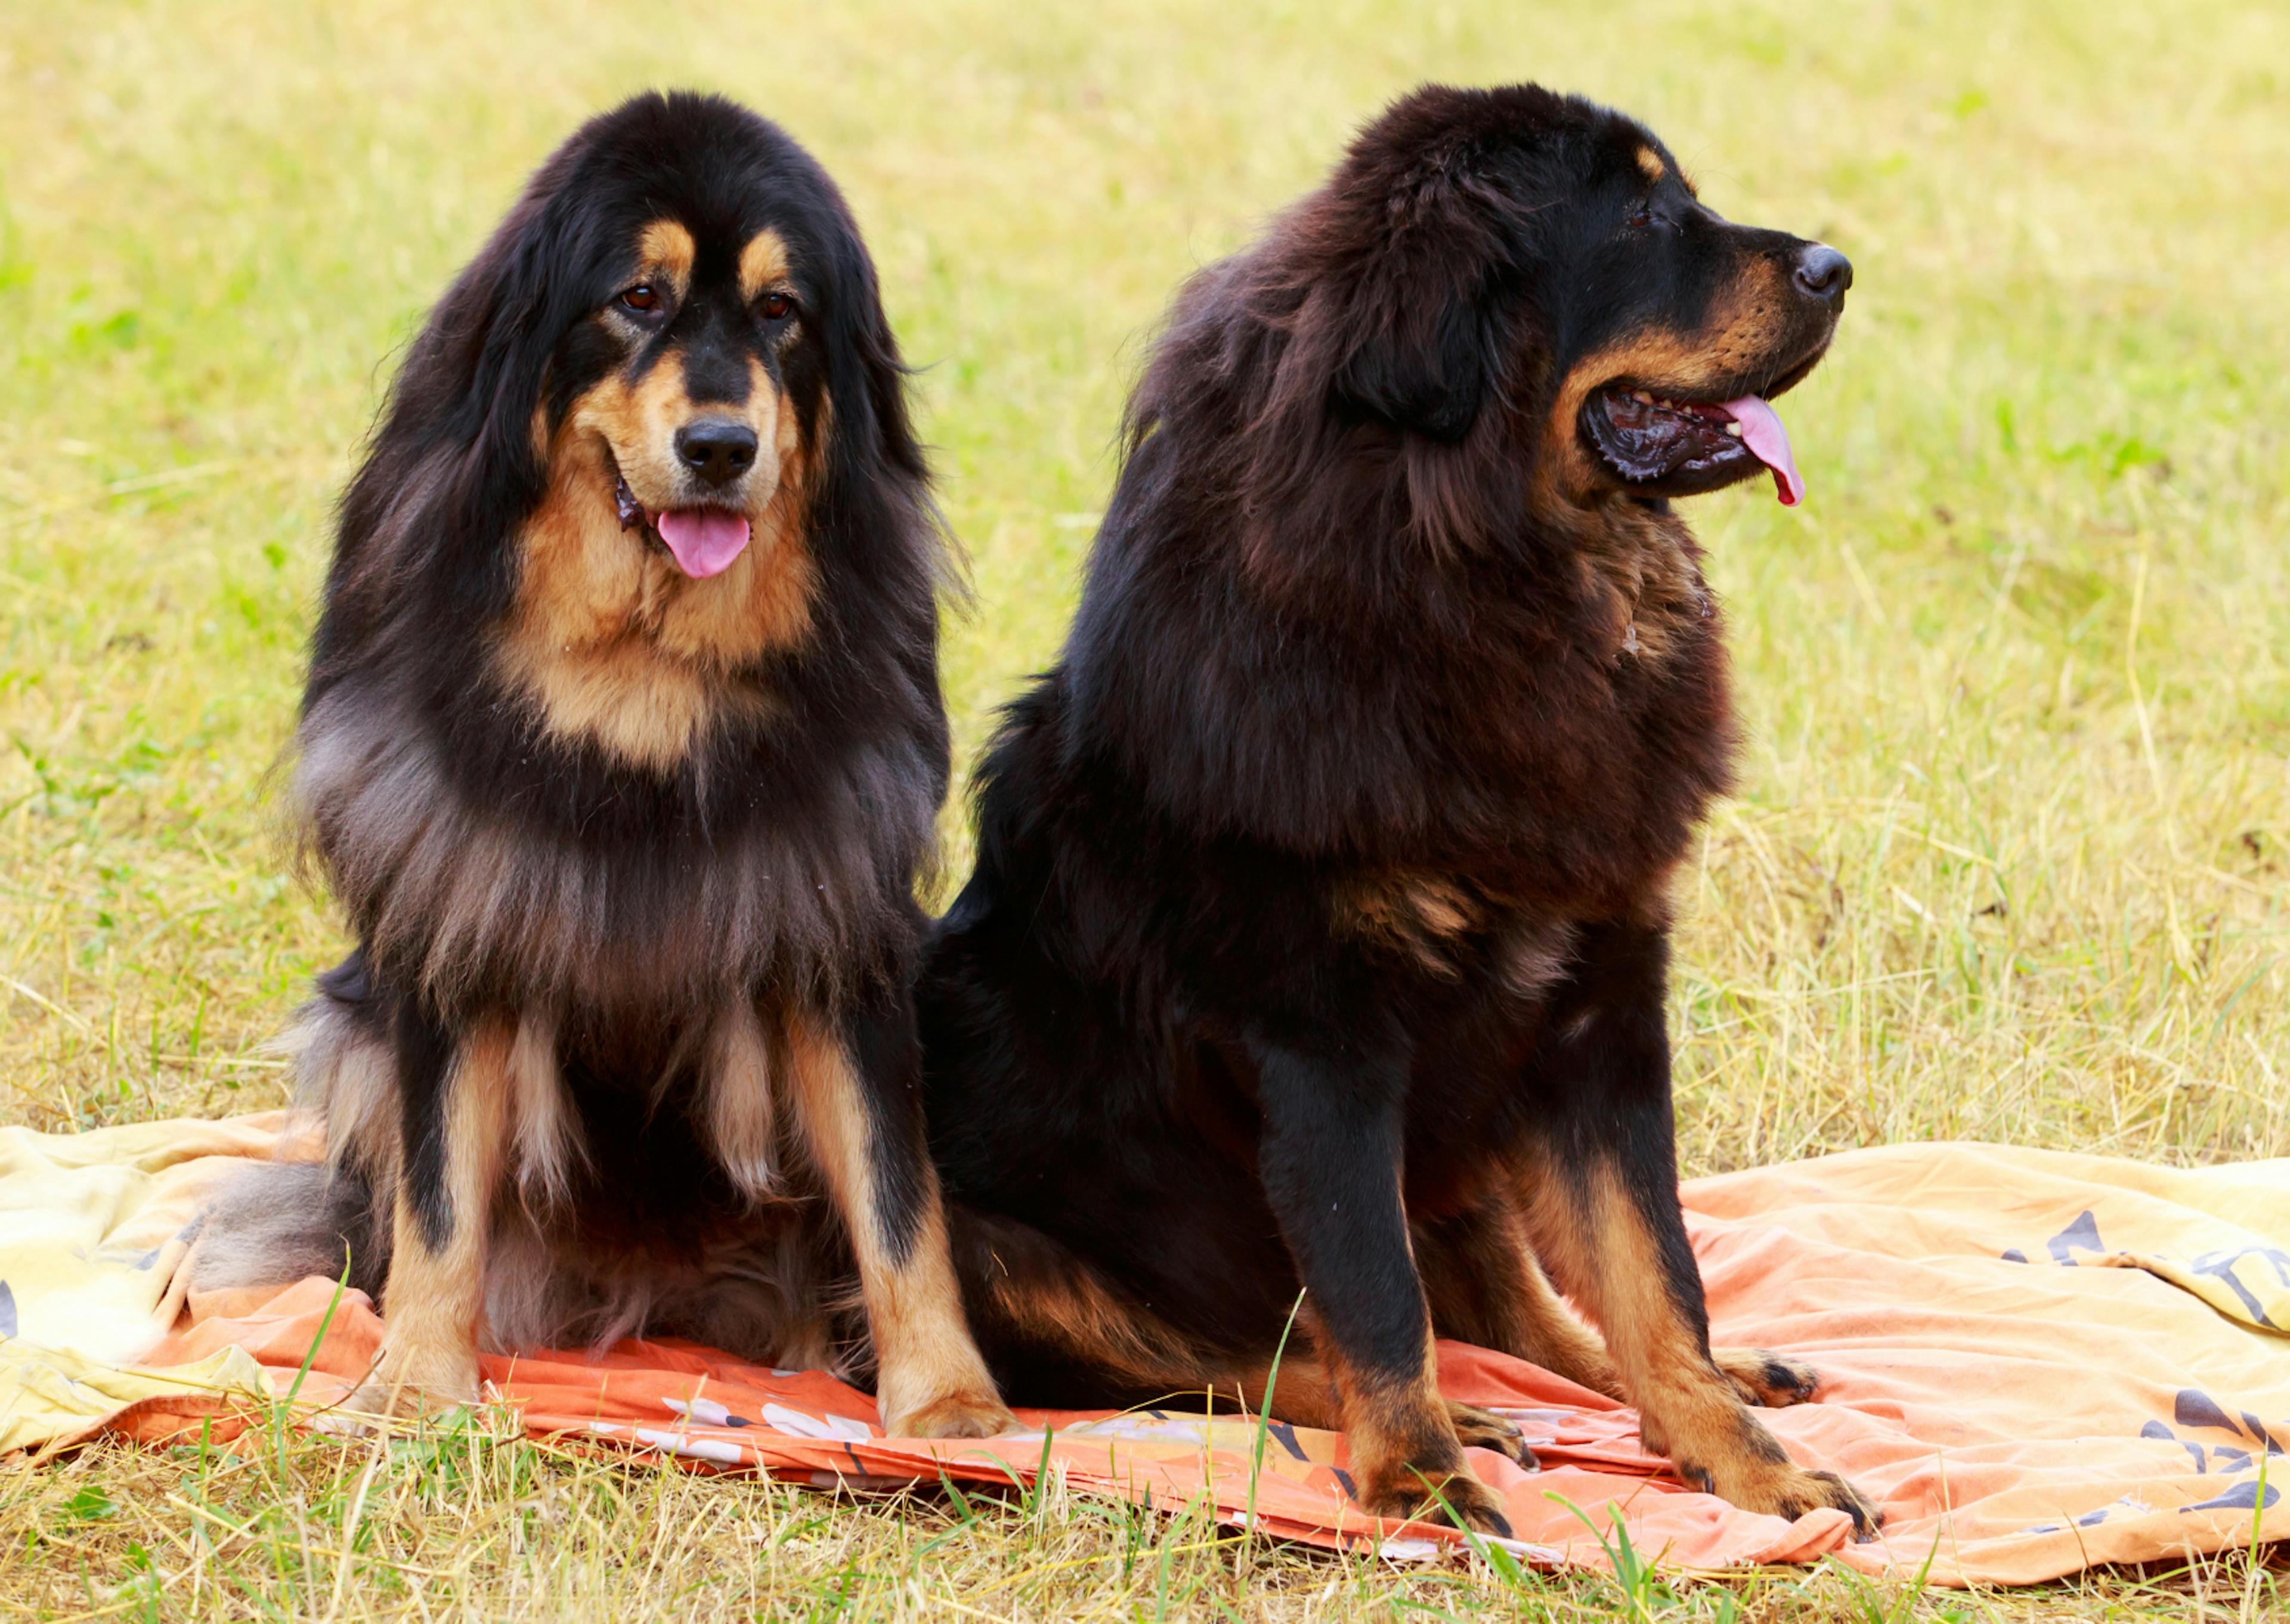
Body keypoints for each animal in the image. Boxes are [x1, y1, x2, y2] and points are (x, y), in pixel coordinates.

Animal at [192, 91, 1016, 1429]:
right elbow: (440, 1192)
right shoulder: (456, 907)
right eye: (637, 297)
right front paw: (416, 1382)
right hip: (351, 1027)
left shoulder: (834, 927)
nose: (723, 445)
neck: (642, 670)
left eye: (782, 313)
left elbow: (899, 1195)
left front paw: (949, 1406)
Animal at [920, 82, 1887, 1530]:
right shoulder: (1319, 1032)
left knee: (1514, 1301)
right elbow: (1373, 1292)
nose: (1837, 267)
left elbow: (1655, 1270)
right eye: (1640, 215)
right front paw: (1425, 1479)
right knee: (1244, 1360)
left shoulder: (1598, 1002)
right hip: (984, 1238)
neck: (1485, 565)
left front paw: (1746, 1458)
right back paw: (1468, 1422)